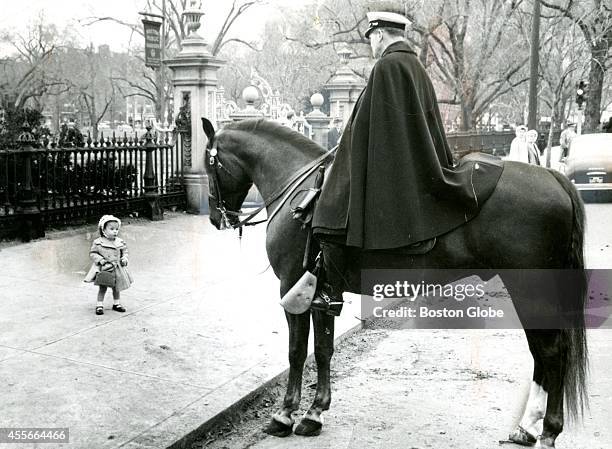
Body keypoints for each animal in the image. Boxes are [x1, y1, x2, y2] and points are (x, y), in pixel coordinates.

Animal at [200, 117, 588, 446]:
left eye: (208, 163)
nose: (216, 217)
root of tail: (554, 178)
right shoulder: (322, 293)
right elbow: (323, 350)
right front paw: (315, 412)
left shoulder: (292, 288)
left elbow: (297, 352)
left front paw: (285, 415)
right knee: (542, 353)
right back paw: (527, 427)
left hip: (530, 290)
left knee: (551, 352)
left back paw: (548, 429)